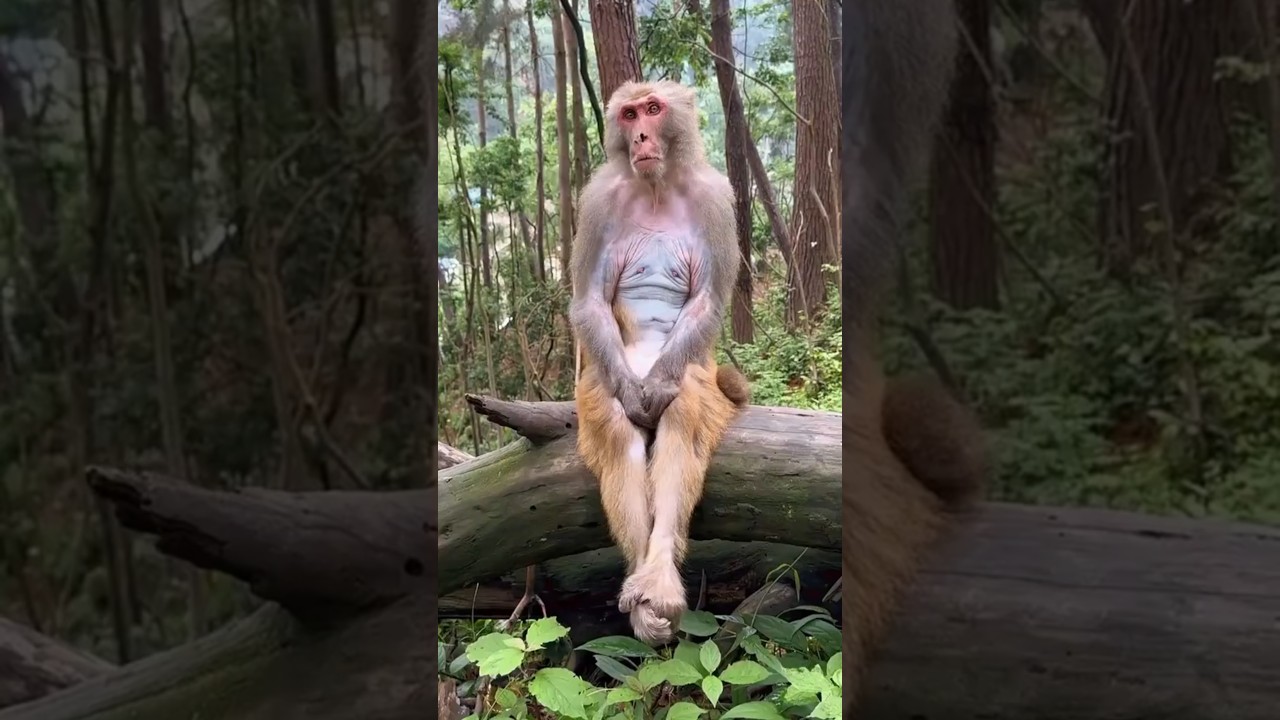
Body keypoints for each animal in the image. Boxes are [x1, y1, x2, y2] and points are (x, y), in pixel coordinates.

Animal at [569, 79, 751, 646]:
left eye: (653, 108)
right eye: (628, 115)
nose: (642, 136)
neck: (656, 186)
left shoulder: (715, 198)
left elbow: (707, 301)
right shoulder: (597, 200)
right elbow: (590, 301)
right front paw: (633, 398)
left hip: (699, 374)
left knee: (685, 409)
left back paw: (659, 580)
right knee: (614, 425)